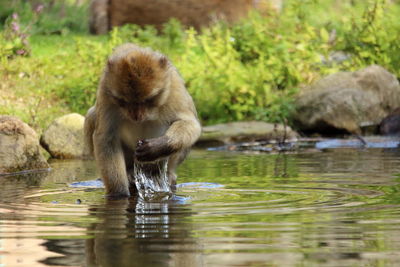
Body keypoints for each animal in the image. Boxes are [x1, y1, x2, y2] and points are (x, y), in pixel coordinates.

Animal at [85, 44, 203, 199]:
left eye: (147, 100)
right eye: (124, 101)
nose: (136, 116)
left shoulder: (174, 87)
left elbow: (189, 123)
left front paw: (159, 146)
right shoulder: (106, 91)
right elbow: (106, 138)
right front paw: (118, 194)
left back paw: (168, 174)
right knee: (91, 115)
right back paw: (130, 173)